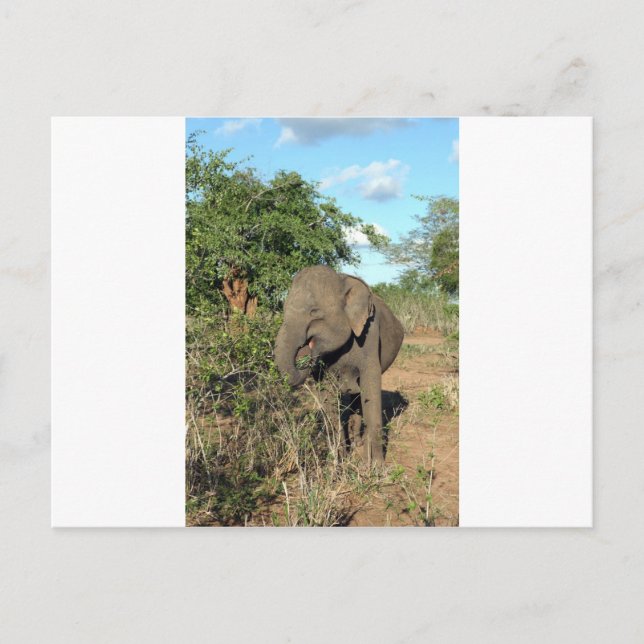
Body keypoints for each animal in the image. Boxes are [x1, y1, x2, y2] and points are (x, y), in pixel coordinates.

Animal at [274, 265, 404, 464]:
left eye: (314, 312)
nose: (306, 356)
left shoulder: (370, 332)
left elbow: (371, 389)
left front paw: (375, 467)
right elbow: (329, 398)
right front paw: (338, 459)